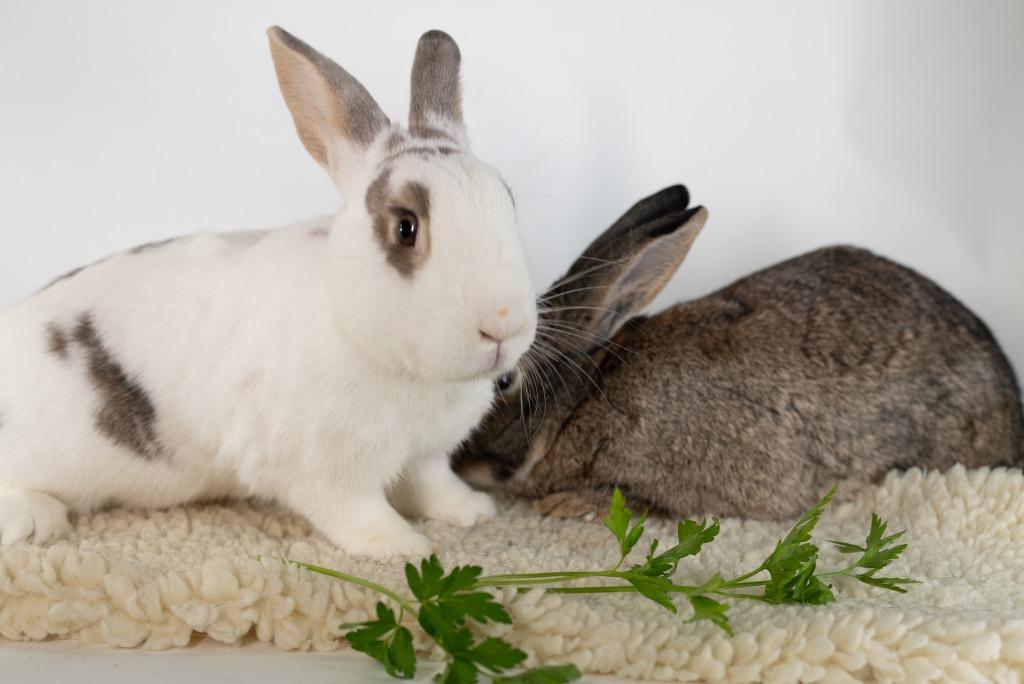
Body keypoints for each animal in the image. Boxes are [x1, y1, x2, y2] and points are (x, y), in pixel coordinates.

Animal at [0, 28, 538, 557]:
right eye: (406, 228)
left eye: (508, 202)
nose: (503, 322)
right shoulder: (324, 468)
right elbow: (357, 512)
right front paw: (403, 546)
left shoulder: (426, 453)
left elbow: (433, 485)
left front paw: (472, 512)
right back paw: (37, 520)